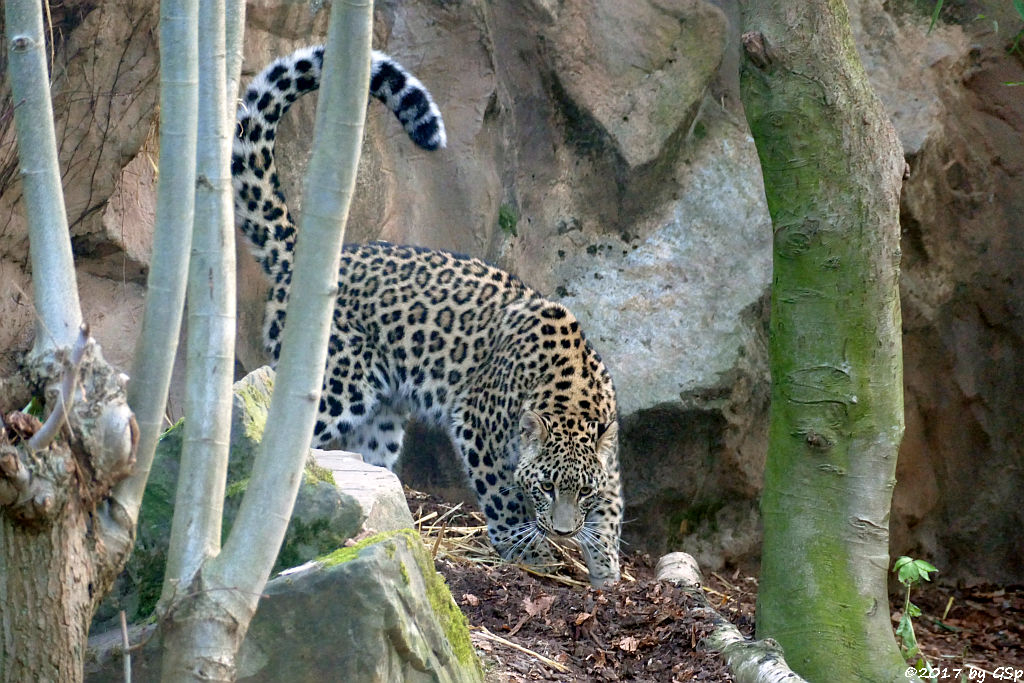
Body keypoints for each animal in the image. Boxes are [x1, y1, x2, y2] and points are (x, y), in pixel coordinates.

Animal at [234, 44, 622, 589]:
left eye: (581, 490)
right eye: (545, 486)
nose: (565, 532)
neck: (571, 388)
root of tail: (302, 256)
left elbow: (612, 507)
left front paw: (606, 568)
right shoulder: (477, 427)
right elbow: (503, 496)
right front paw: (529, 552)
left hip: (382, 414)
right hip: (335, 385)